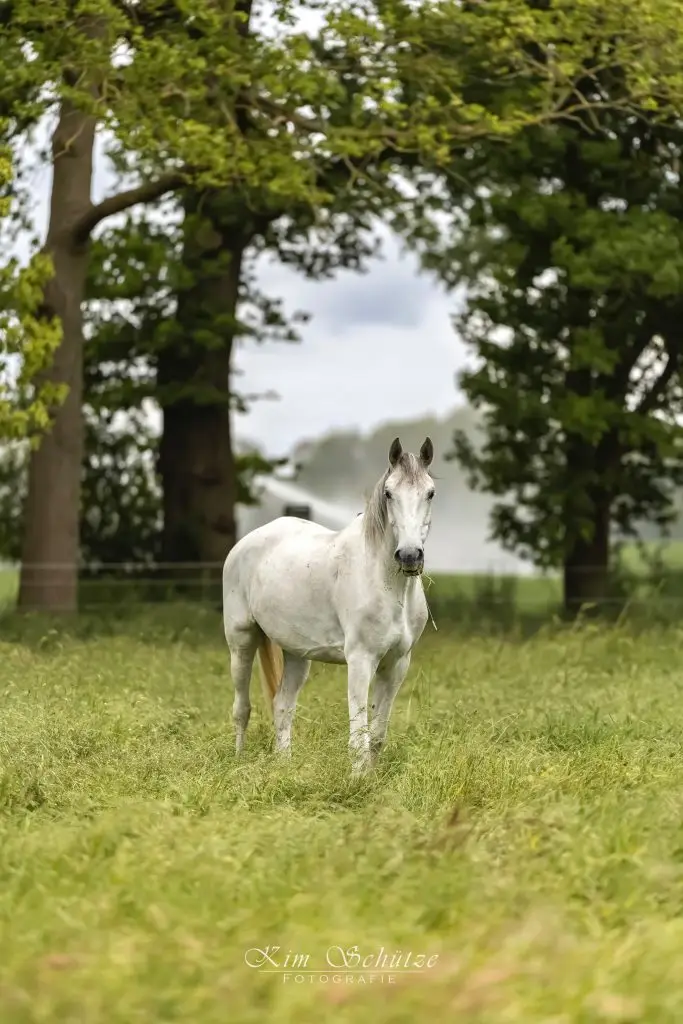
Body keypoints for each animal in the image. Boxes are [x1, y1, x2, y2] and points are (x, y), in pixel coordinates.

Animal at [222, 436, 436, 773]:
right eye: (389, 493)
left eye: (430, 492)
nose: (410, 555)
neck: (388, 585)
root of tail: (245, 543)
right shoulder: (361, 661)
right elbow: (359, 736)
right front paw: (358, 779)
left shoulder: (397, 664)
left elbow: (377, 735)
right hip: (241, 641)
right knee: (242, 708)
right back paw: (238, 760)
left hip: (297, 654)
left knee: (282, 706)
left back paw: (284, 767)